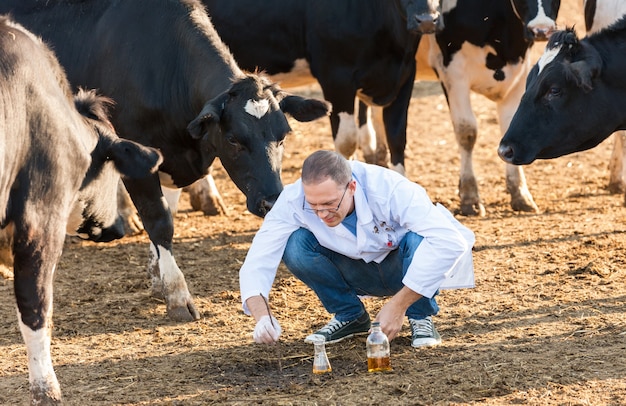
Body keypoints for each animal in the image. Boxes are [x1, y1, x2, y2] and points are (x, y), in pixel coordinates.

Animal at [0, 0, 332, 324]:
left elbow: (167, 214)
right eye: (234, 140)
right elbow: (159, 221)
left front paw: (158, 275)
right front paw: (177, 295)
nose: (271, 201)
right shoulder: (135, 157)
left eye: (283, 136)